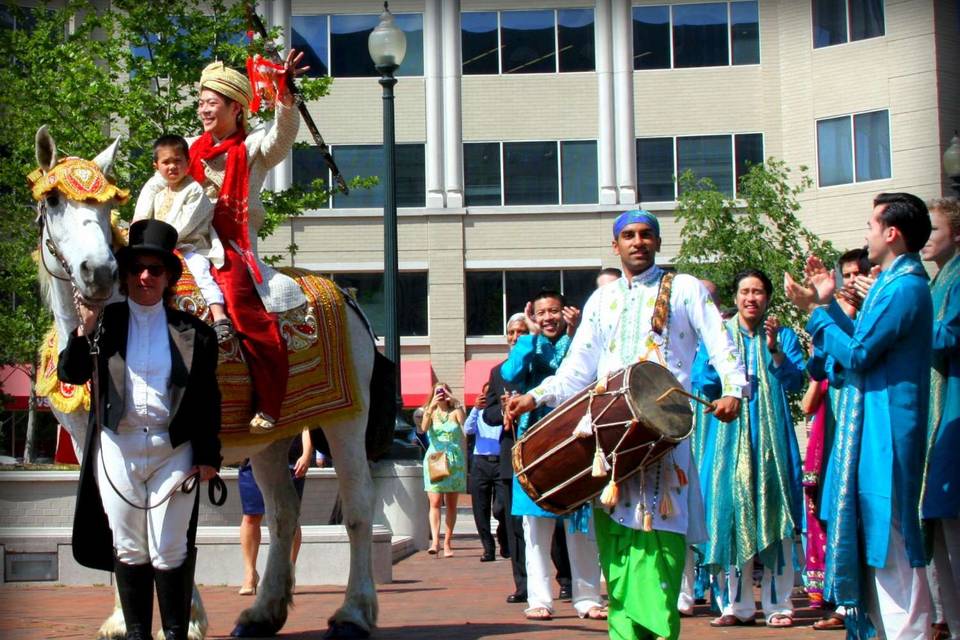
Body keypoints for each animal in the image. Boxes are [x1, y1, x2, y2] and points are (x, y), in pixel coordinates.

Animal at [37, 127, 382, 636]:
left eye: (105, 205)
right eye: (54, 199)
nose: (98, 272)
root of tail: (346, 296)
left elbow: (168, 528)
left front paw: (189, 617)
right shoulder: (88, 441)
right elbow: (120, 518)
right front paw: (123, 617)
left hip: (347, 423)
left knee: (358, 508)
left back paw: (353, 613)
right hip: (272, 438)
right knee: (283, 514)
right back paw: (263, 611)